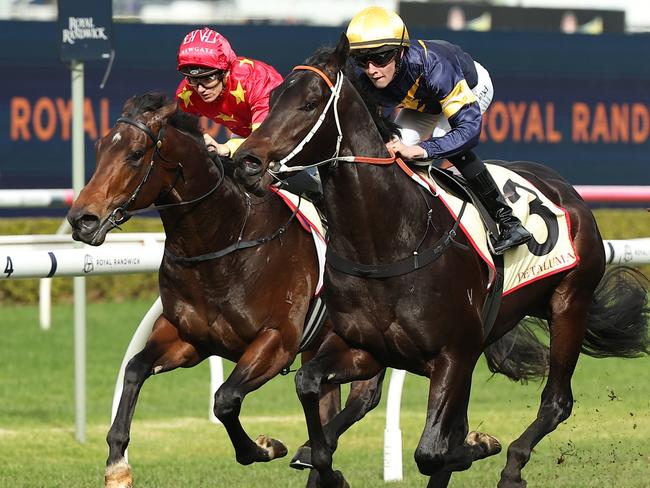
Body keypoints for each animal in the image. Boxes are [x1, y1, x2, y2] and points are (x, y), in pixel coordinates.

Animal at [67, 93, 384, 486]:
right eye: (98, 148)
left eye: (136, 153)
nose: (82, 219)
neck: (224, 239)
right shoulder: (188, 338)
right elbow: (135, 369)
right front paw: (117, 464)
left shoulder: (277, 341)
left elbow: (225, 398)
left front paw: (265, 446)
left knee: (364, 397)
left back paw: (312, 453)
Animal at [233, 35, 648, 488]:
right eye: (273, 97)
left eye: (309, 103)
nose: (246, 162)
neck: (387, 240)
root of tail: (567, 191)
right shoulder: (366, 348)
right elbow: (308, 383)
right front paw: (316, 456)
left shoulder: (452, 353)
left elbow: (433, 451)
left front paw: (478, 446)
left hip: (568, 304)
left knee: (557, 401)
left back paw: (513, 465)